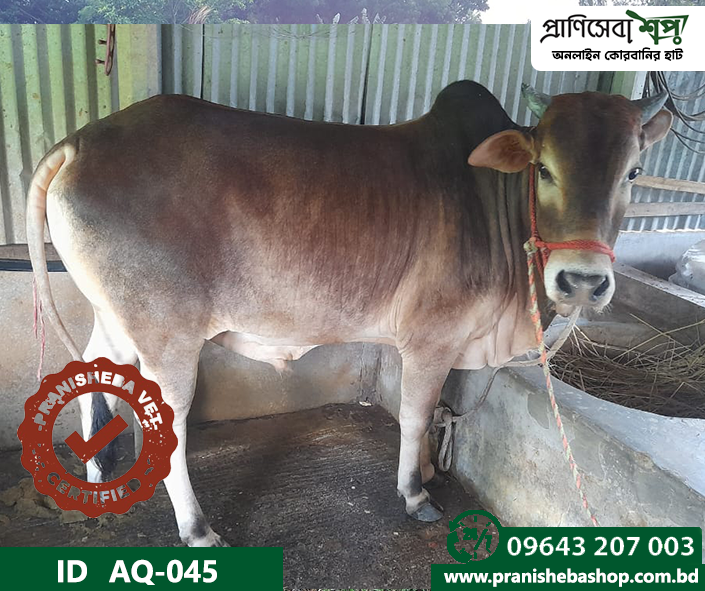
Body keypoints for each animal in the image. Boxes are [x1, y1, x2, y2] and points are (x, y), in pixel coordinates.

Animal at [26, 80, 672, 546]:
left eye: (634, 172)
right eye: (544, 169)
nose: (583, 281)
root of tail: (81, 141)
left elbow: (436, 413)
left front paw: (429, 474)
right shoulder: (432, 339)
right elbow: (415, 415)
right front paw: (416, 495)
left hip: (116, 315)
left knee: (94, 369)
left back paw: (98, 477)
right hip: (166, 332)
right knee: (168, 421)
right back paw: (197, 529)